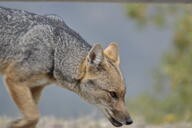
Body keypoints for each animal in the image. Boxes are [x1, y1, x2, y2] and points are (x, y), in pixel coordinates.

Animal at [0, 6, 132, 127]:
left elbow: (33, 116)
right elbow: (34, 116)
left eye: (124, 94)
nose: (130, 121)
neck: (55, 52)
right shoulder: (14, 80)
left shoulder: (35, 87)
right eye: (113, 94)